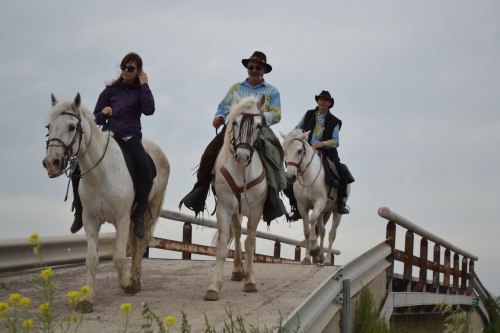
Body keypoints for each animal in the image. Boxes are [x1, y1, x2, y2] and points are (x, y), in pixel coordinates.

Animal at [42, 92, 170, 308]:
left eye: (71, 126)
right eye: (48, 127)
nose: (51, 163)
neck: (99, 173)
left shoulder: (121, 218)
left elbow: (118, 257)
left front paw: (127, 284)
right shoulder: (90, 220)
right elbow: (92, 259)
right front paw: (88, 299)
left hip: (151, 206)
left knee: (142, 240)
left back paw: (136, 277)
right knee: (134, 242)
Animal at [203, 92, 268, 300]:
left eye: (259, 125)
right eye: (235, 122)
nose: (241, 157)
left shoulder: (256, 210)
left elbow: (250, 243)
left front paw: (251, 281)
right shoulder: (224, 208)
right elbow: (223, 247)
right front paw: (214, 287)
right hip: (234, 211)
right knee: (238, 232)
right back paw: (238, 270)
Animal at [280, 129, 350, 264]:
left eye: (299, 150)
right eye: (284, 151)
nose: (290, 177)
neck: (307, 176)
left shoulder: (319, 202)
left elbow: (311, 219)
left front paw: (313, 248)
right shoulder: (302, 207)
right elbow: (306, 230)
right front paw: (308, 257)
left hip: (336, 211)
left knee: (332, 234)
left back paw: (327, 259)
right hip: (322, 212)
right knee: (322, 231)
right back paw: (321, 256)